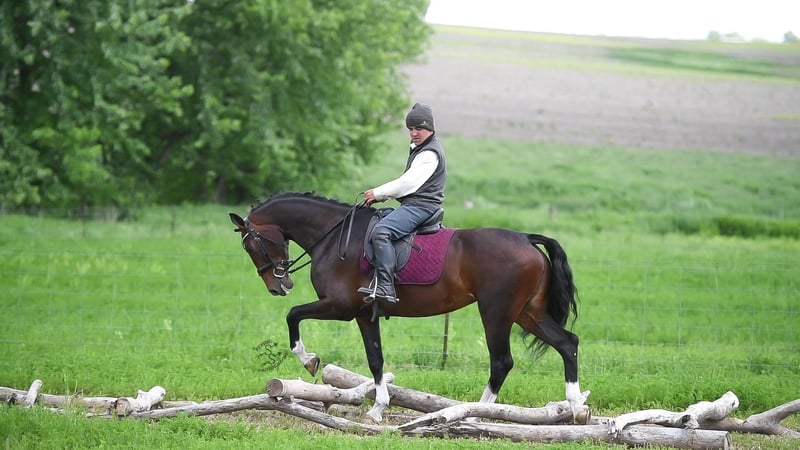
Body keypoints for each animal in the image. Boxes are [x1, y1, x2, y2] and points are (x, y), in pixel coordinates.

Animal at [230, 192, 586, 422]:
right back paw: (575, 406)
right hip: (528, 313)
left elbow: (293, 316)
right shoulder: (364, 315)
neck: (333, 238)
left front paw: (309, 361)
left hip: (496, 313)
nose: (279, 286)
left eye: (251, 246)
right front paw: (377, 409)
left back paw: (473, 414)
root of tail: (526, 238)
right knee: (567, 343)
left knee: (502, 361)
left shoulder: (339, 307)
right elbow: (375, 359)